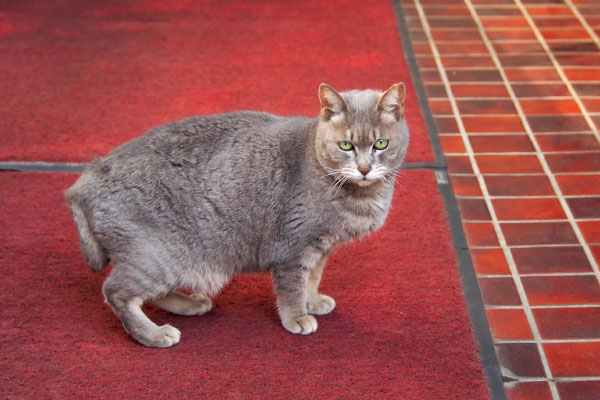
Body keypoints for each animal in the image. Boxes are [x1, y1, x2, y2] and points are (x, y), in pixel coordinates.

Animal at [67, 83, 412, 346]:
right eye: (346, 146)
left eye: (381, 144)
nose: (365, 169)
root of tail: (87, 178)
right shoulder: (293, 247)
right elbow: (292, 287)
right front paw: (298, 316)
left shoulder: (320, 247)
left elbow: (312, 278)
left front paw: (313, 301)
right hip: (158, 256)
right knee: (117, 292)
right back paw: (154, 334)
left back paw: (189, 303)